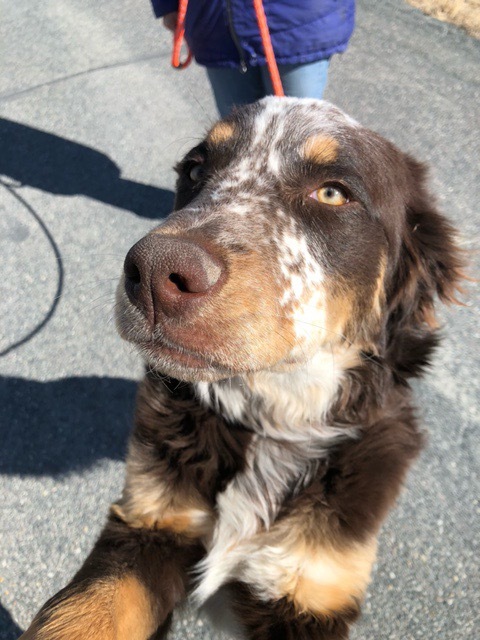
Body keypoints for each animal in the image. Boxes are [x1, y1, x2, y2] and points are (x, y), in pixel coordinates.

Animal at [20, 96, 464, 640]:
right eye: (195, 170)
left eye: (333, 193)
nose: (153, 274)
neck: (272, 420)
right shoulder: (148, 524)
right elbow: (82, 615)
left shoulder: (312, 586)